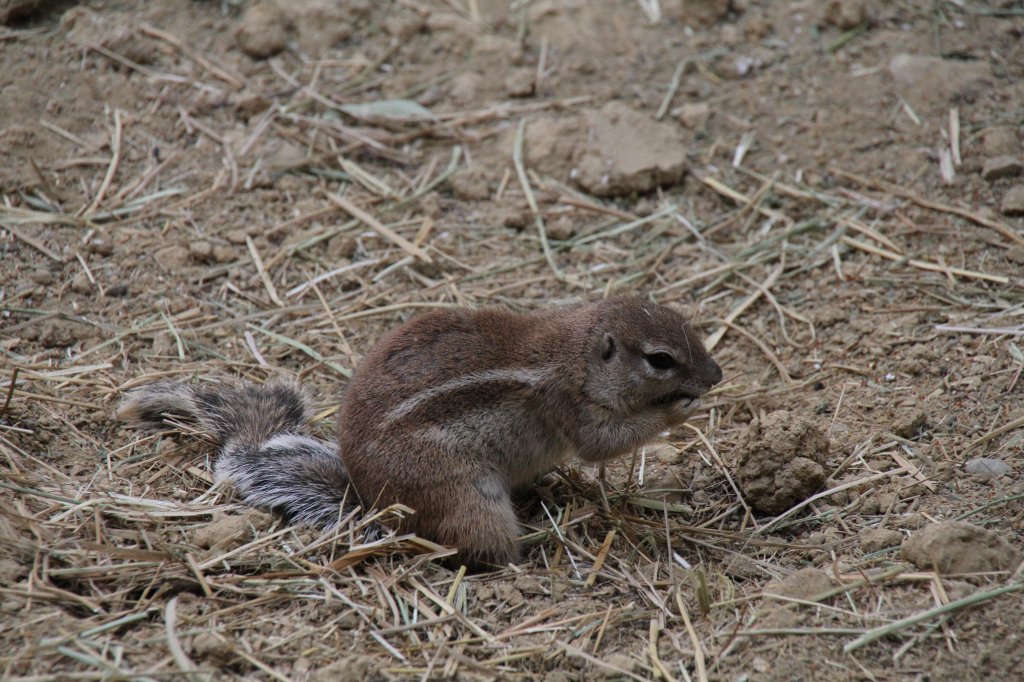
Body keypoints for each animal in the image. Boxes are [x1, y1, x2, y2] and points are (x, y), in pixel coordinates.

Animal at [119, 294, 724, 565]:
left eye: (689, 325)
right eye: (661, 360)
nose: (716, 376)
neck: (574, 351)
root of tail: (372, 502)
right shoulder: (566, 404)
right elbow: (602, 442)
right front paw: (682, 410)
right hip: (465, 498)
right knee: (464, 547)